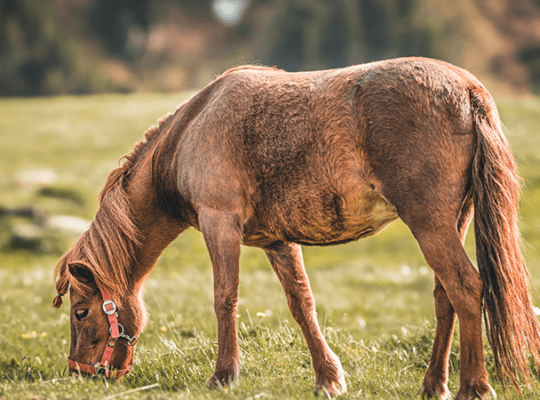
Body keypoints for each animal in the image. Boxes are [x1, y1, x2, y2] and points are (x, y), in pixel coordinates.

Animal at [51, 57, 540, 400]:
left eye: (80, 312)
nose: (79, 374)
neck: (193, 129)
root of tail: (467, 89)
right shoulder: (277, 241)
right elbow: (302, 305)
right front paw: (328, 378)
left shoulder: (218, 223)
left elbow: (224, 298)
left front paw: (223, 375)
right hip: (452, 221)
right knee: (445, 298)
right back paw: (433, 384)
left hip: (430, 223)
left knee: (466, 287)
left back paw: (474, 386)